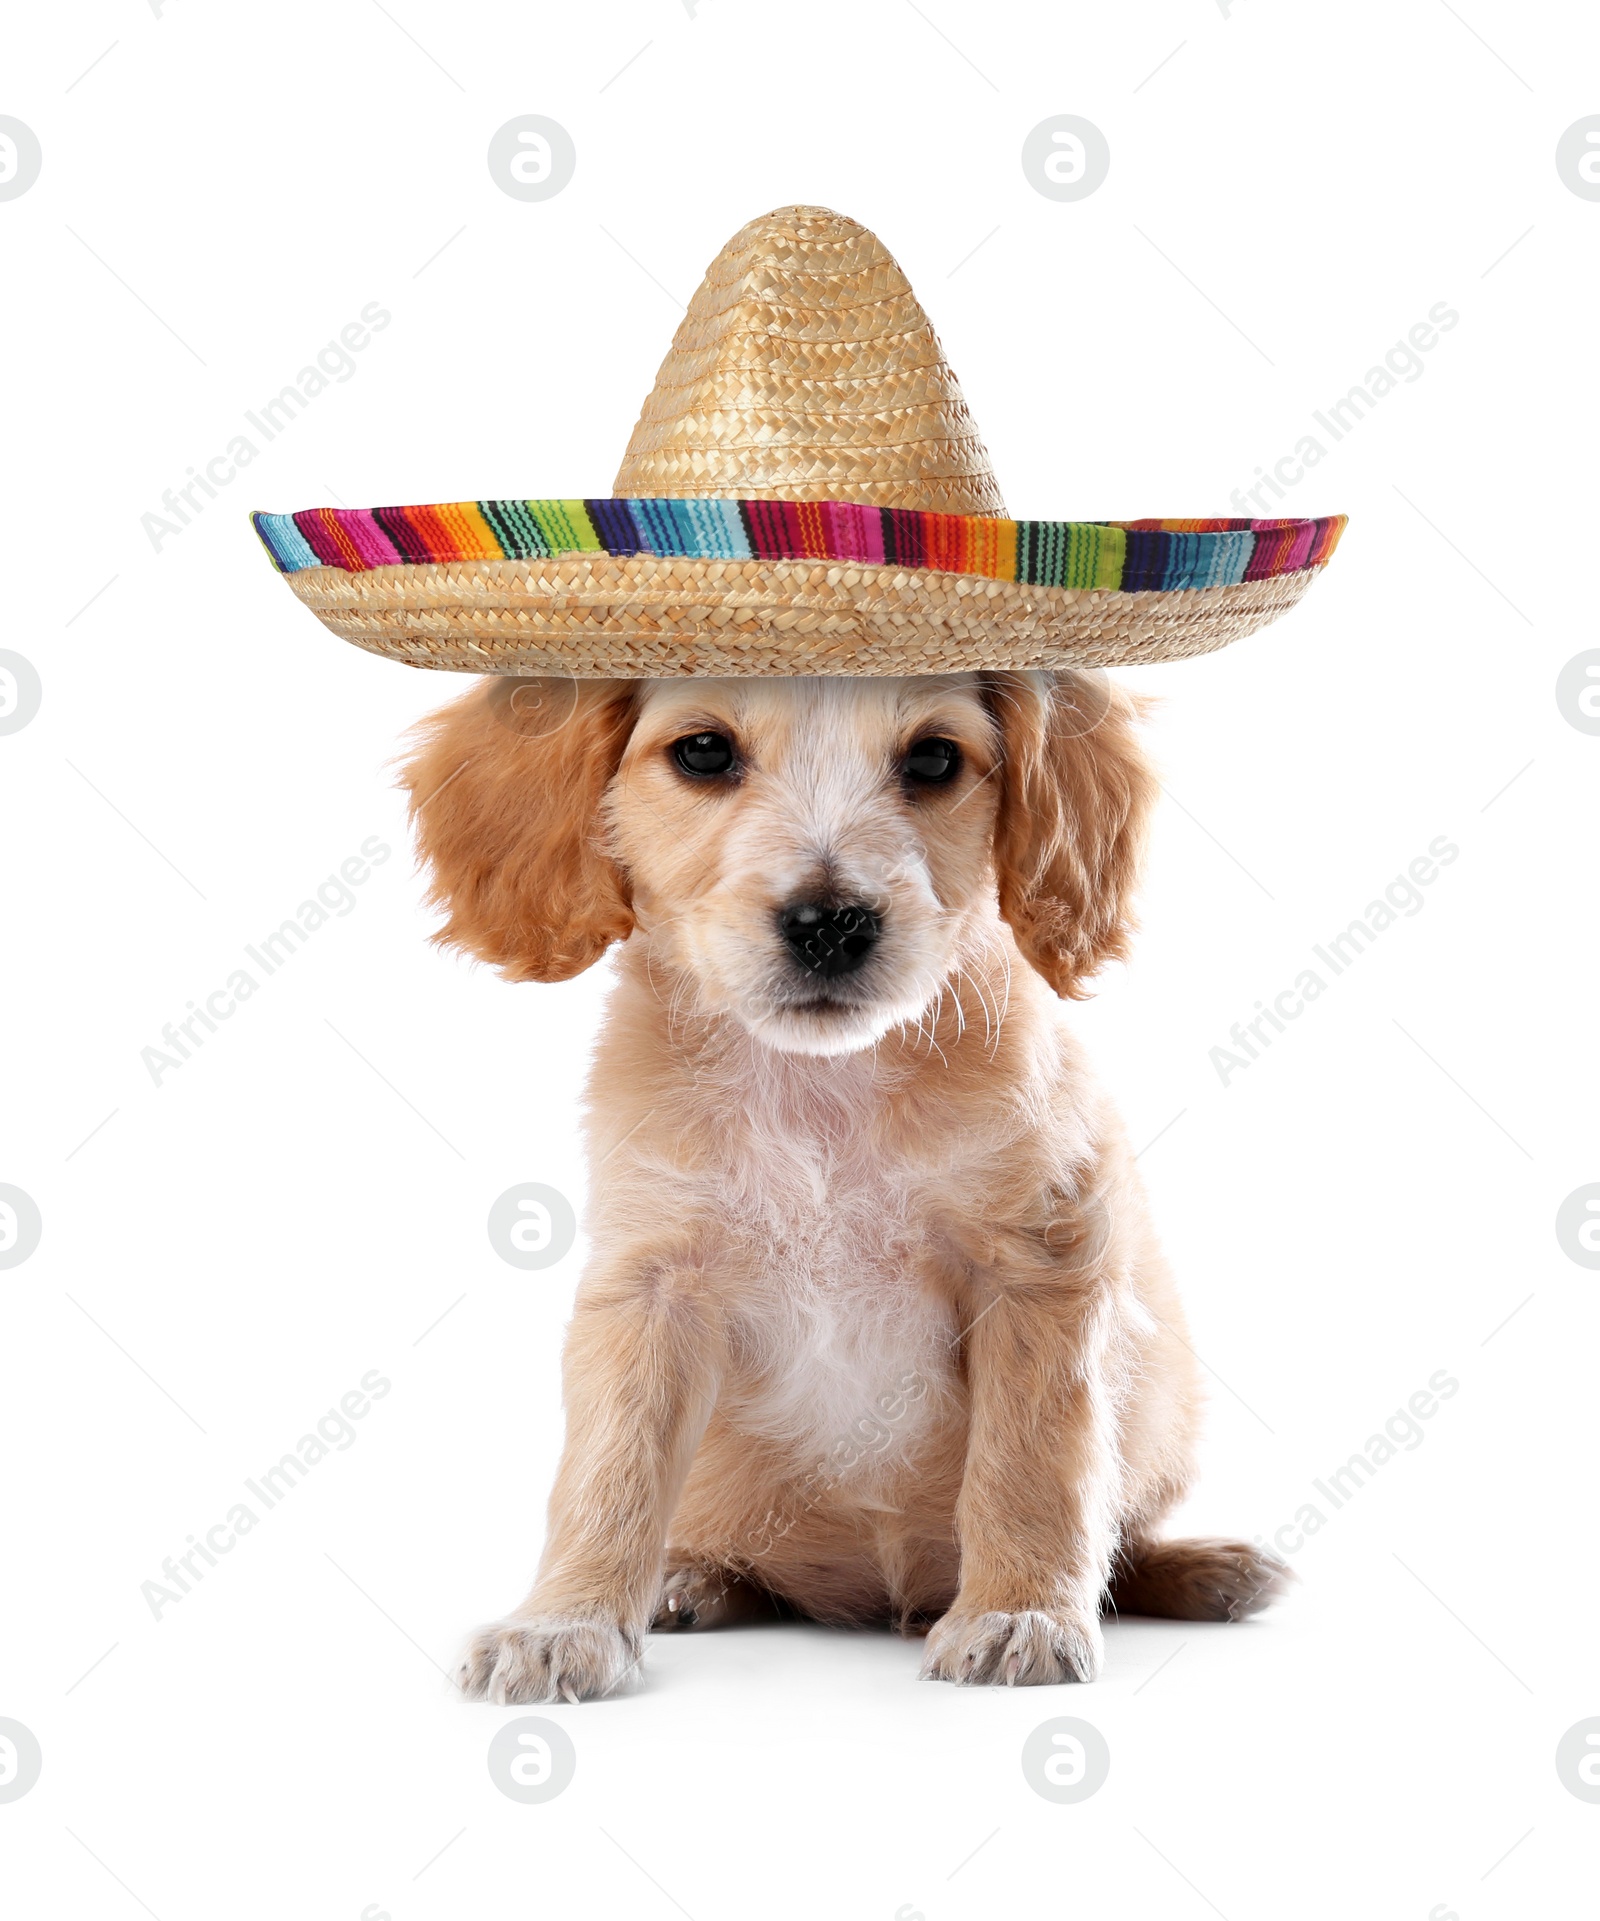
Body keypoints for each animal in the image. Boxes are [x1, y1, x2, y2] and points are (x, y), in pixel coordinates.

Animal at [403, 672, 1283, 1698]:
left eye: (934, 758)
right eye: (703, 751)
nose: (832, 924)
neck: (820, 1088)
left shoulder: (1041, 1262)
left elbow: (1032, 1462)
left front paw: (1017, 1610)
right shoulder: (652, 1284)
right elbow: (609, 1469)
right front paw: (563, 1622)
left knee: (1125, 1536)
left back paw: (1204, 1568)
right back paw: (691, 1577)